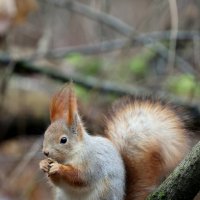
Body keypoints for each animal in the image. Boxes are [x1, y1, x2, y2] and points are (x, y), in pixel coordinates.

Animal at [39, 83, 198, 199]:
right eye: (45, 134)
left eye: (63, 140)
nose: (45, 152)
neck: (72, 154)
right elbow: (57, 182)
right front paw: (43, 164)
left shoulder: (93, 163)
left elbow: (81, 177)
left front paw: (58, 168)